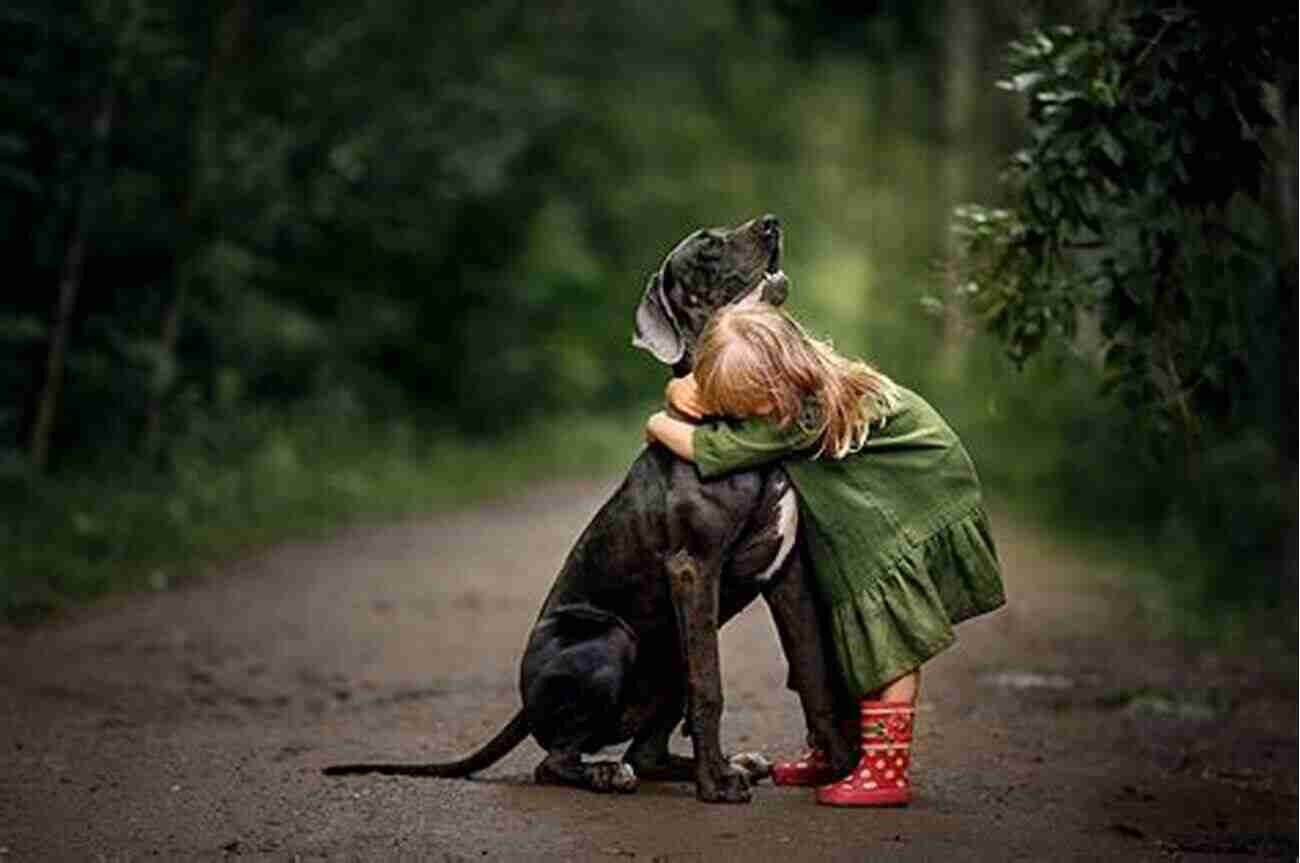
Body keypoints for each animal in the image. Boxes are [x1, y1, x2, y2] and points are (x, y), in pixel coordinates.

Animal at [323, 215, 852, 800]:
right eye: (707, 248)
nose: (771, 223)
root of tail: (524, 706)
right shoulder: (693, 568)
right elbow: (710, 687)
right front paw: (714, 785)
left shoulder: (786, 574)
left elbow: (814, 672)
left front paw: (836, 766)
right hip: (608, 638)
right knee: (555, 759)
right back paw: (611, 772)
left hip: (666, 661)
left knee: (645, 751)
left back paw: (729, 761)